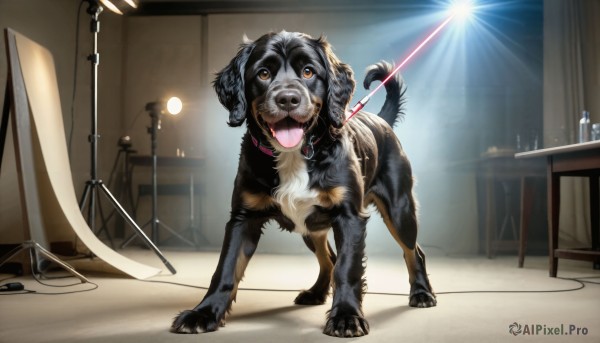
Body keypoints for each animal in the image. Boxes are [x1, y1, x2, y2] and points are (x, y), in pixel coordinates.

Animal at [171, 30, 434, 338]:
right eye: (263, 73)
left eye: (308, 71)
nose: (288, 99)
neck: (295, 153)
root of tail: (381, 121)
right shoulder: (243, 217)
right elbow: (225, 268)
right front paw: (204, 313)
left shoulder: (349, 216)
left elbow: (348, 268)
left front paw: (346, 316)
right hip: (311, 228)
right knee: (328, 257)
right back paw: (317, 292)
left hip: (399, 210)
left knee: (413, 251)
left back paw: (422, 293)